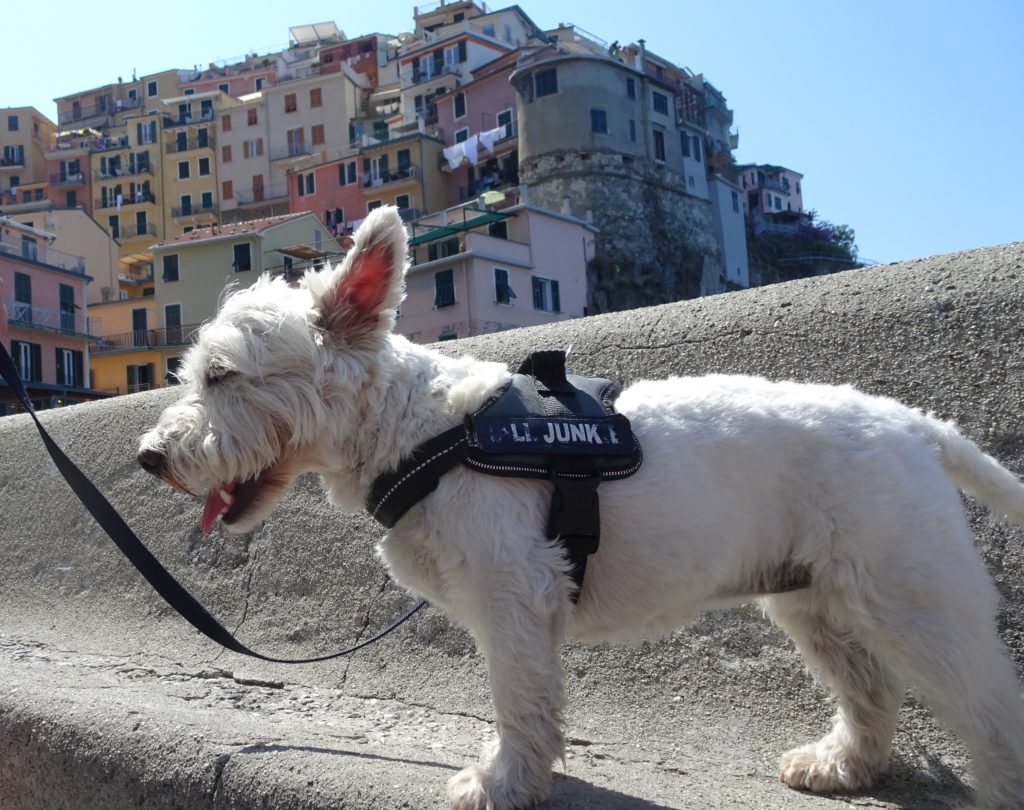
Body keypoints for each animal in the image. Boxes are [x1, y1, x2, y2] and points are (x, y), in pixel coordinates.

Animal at [138, 205, 1024, 806]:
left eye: (222, 374)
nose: (151, 457)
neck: (418, 426)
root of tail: (917, 425)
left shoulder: (513, 593)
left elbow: (519, 696)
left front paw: (502, 782)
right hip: (815, 599)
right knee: (870, 690)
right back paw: (839, 764)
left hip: (915, 598)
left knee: (991, 710)